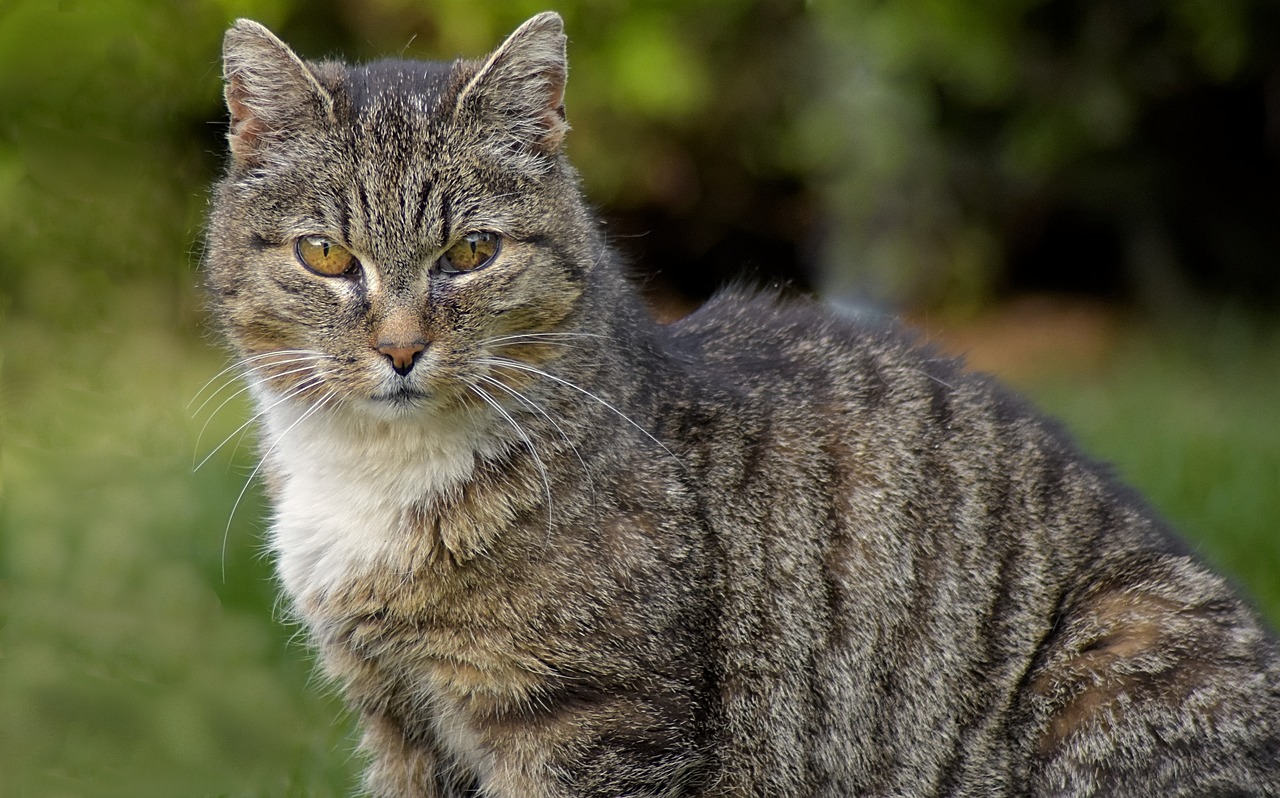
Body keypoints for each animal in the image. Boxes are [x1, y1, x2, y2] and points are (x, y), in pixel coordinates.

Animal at [204, 12, 1280, 798]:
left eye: (470, 253)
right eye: (325, 255)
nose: (398, 348)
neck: (374, 476)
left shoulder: (592, 725)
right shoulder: (401, 724)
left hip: (1117, 656)